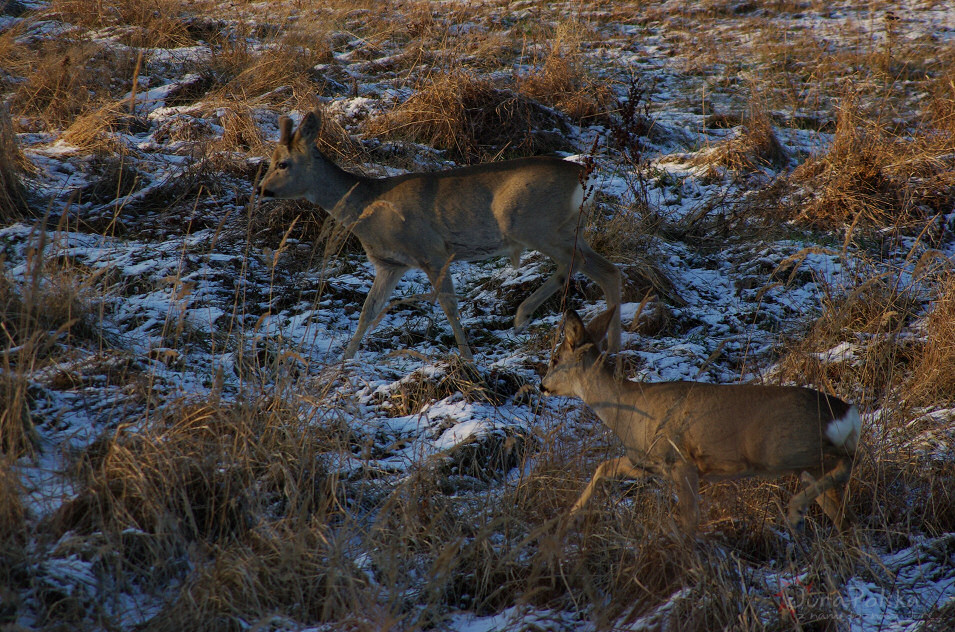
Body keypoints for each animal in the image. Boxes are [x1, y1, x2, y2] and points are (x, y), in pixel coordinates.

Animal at [258, 110, 624, 360]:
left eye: (283, 163)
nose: (262, 190)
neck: (368, 205)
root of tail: (581, 174)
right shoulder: (390, 264)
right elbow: (368, 311)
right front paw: (343, 362)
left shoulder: (433, 252)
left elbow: (449, 306)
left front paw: (467, 358)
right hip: (567, 227)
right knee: (600, 269)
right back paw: (606, 347)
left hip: (530, 222)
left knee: (581, 264)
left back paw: (532, 319)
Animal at [540, 308, 864, 536]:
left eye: (555, 359)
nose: (542, 385)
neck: (628, 411)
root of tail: (845, 411)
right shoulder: (647, 461)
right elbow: (604, 467)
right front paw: (568, 520)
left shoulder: (680, 460)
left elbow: (689, 519)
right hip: (805, 464)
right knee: (845, 515)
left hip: (782, 449)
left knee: (848, 461)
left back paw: (795, 513)